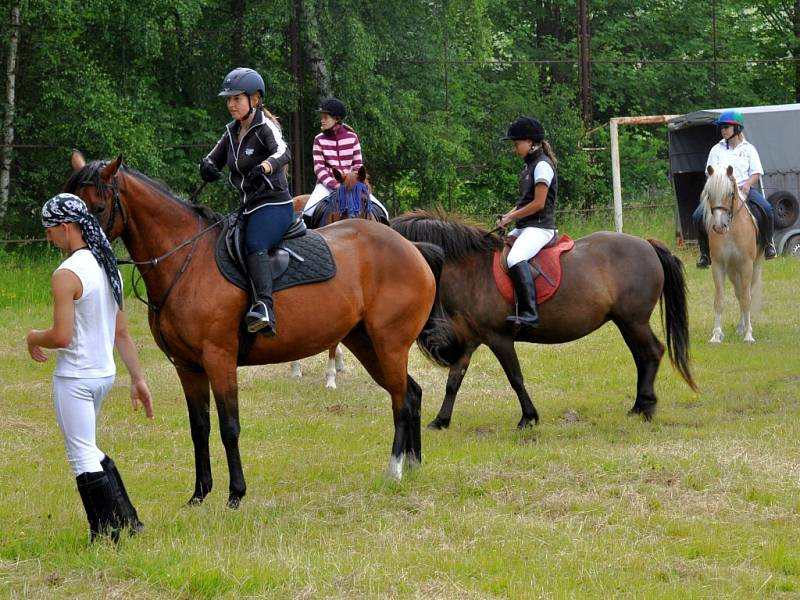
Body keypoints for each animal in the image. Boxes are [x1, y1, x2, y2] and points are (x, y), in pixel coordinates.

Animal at [394, 209, 700, 428]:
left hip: (634, 321)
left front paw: (528, 417)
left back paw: (647, 407)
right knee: (642, 357)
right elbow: (454, 381)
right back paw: (638, 406)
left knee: (652, 352)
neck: (472, 271)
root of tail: (647, 245)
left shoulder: (499, 338)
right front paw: (440, 421)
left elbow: (515, 378)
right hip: (626, 322)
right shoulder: (470, 339)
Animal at [700, 165, 764, 342]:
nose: (719, 226)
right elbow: (719, 300)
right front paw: (716, 335)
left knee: (746, 293)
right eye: (709, 194)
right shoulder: (718, 266)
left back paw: (744, 328)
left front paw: (749, 335)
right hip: (732, 270)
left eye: (730, 193)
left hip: (754, 267)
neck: (732, 231)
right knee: (738, 293)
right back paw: (740, 327)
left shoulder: (747, 265)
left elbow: (746, 299)